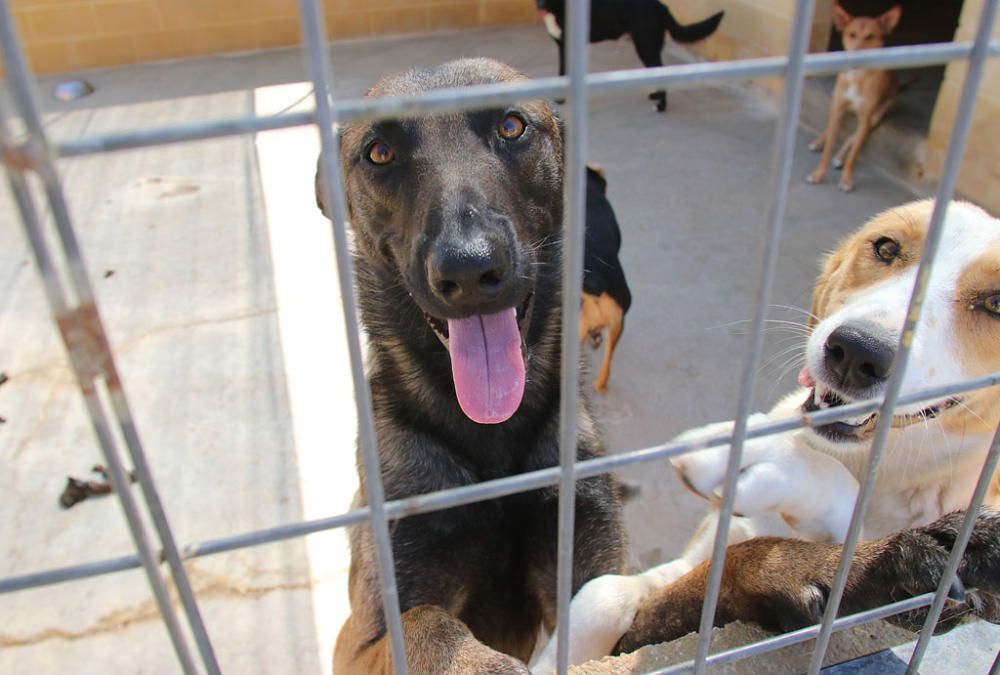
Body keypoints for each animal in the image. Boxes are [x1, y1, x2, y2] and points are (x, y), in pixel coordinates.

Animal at [532, 199, 1000, 672]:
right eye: (886, 248)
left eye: (995, 303)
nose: (857, 350)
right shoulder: (684, 563)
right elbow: (602, 591)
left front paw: (767, 459)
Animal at [536, 0, 724, 111]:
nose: (540, 6)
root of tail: (661, 6)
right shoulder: (562, 47)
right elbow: (562, 72)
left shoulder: (569, 47)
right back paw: (656, 97)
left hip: (645, 46)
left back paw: (661, 105)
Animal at [808, 3, 904, 191]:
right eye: (851, 34)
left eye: (870, 36)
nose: (856, 53)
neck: (857, 76)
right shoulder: (838, 107)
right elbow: (829, 145)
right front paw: (818, 173)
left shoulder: (866, 118)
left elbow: (854, 153)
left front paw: (846, 179)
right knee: (831, 128)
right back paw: (819, 143)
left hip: (880, 112)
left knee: (853, 137)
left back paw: (840, 158)